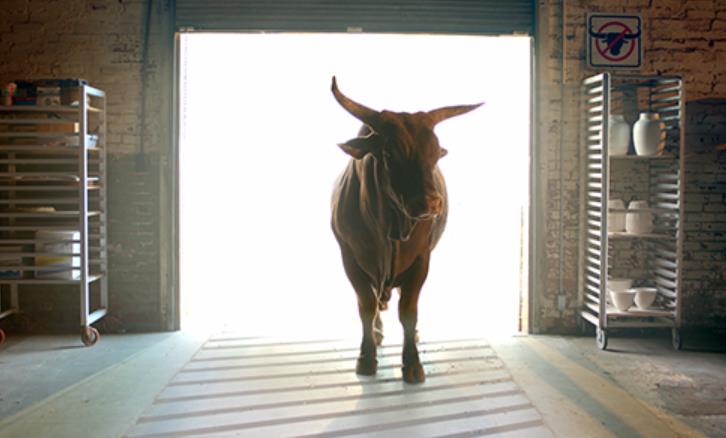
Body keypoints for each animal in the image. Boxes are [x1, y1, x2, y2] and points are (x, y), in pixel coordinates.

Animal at [329, 77, 482, 383]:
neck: (390, 231)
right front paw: (366, 357)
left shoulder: (421, 258)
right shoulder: (349, 258)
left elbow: (408, 311)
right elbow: (366, 306)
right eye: (389, 153)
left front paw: (412, 363)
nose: (432, 202)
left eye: (435, 153)